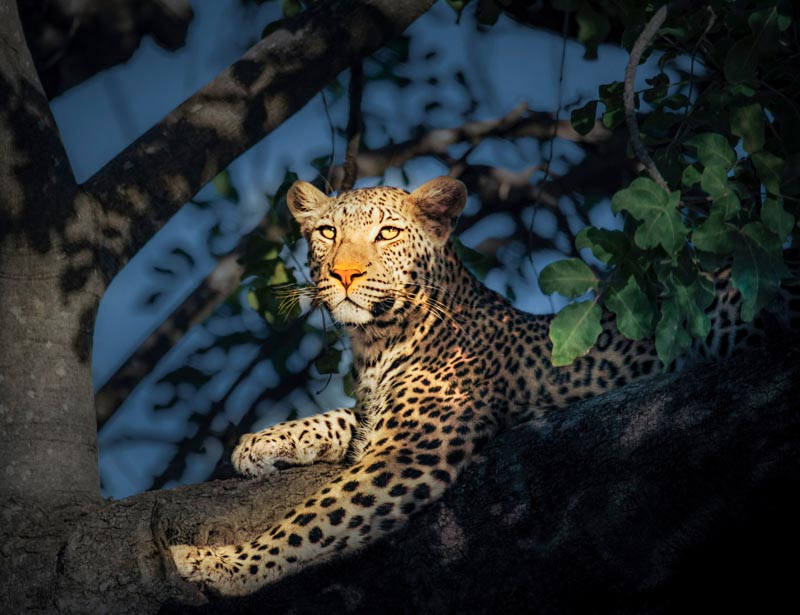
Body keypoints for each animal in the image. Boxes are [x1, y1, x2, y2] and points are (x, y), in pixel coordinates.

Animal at [170, 176, 797, 597]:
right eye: (327, 232)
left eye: (387, 233)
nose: (344, 274)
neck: (377, 342)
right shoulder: (381, 417)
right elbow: (341, 417)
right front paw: (261, 444)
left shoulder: (411, 451)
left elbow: (311, 523)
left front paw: (216, 564)